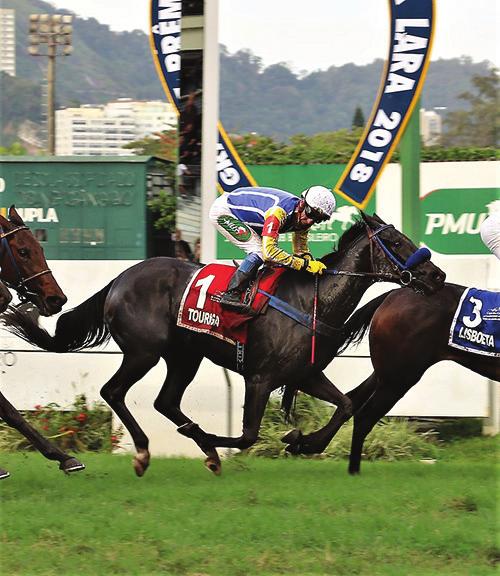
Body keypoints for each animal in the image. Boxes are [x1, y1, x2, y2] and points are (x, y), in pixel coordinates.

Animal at [340, 282, 500, 474]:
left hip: (387, 372)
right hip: (398, 378)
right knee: (364, 416)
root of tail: (393, 293)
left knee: (352, 397)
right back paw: (353, 471)